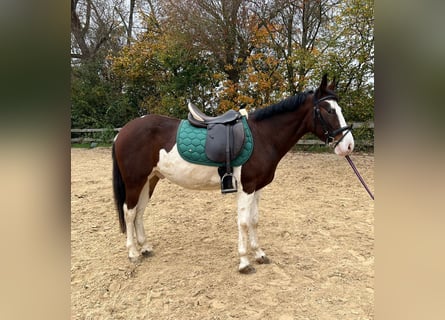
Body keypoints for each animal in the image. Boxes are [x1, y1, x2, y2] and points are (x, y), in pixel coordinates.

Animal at [112, 74, 354, 274]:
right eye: (329, 110)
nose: (349, 145)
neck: (263, 136)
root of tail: (122, 132)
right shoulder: (246, 187)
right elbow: (244, 222)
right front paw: (244, 262)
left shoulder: (258, 187)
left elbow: (254, 220)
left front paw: (259, 254)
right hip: (134, 181)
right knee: (129, 212)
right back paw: (133, 252)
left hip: (149, 180)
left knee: (140, 211)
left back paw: (145, 248)